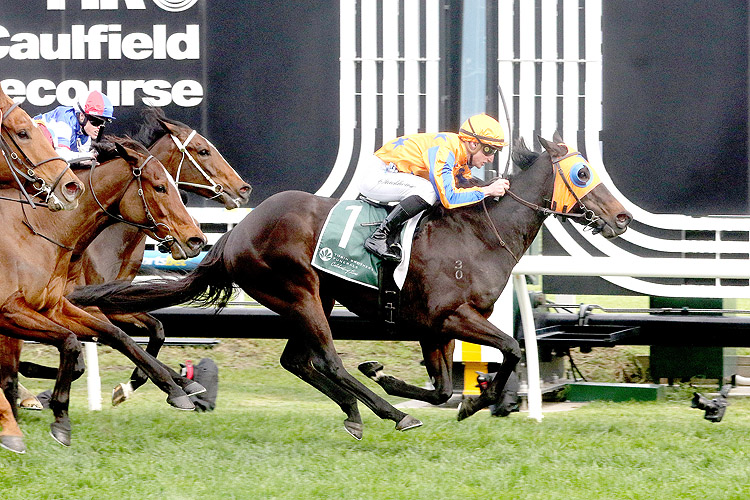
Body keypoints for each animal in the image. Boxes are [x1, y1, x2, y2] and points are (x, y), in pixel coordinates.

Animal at [0, 139, 207, 448]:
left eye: (177, 188)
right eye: (160, 187)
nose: (196, 239)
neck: (40, 228)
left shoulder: (60, 307)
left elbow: (121, 335)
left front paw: (175, 387)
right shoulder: (10, 311)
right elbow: (71, 344)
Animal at [67, 136, 636, 438]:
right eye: (582, 173)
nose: (623, 218)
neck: (477, 234)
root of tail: (234, 235)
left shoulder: (431, 327)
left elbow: (443, 386)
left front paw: (405, 380)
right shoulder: (451, 316)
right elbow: (514, 349)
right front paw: (475, 401)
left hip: (315, 296)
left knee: (297, 360)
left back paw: (357, 410)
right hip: (297, 292)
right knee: (326, 360)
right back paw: (387, 414)